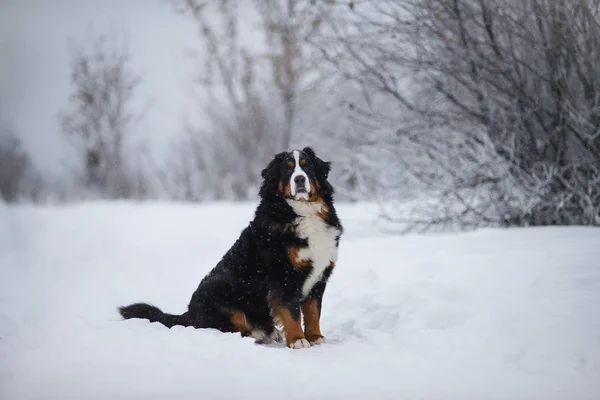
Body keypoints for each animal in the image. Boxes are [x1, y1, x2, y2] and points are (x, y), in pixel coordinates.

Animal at [117, 148, 342, 350]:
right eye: (287, 169)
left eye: (307, 166)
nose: (300, 179)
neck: (302, 213)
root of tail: (189, 314)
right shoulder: (284, 276)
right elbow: (292, 311)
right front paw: (297, 340)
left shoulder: (318, 277)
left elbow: (313, 312)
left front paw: (316, 337)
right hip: (219, 293)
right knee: (232, 327)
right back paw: (259, 334)